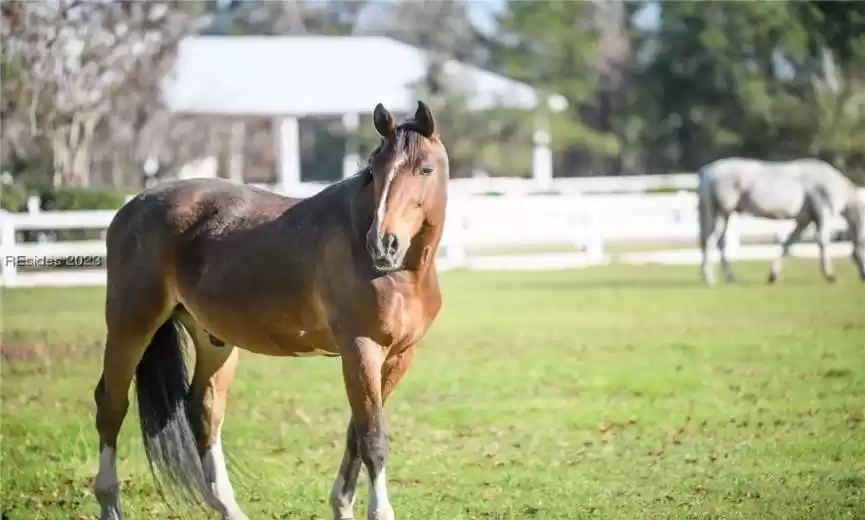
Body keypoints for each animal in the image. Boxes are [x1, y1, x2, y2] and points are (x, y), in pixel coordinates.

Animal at [91, 101, 448, 520]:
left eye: (425, 169)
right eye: (373, 170)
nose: (383, 244)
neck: (401, 274)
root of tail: (131, 207)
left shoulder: (398, 356)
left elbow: (356, 432)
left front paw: (342, 504)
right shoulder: (361, 351)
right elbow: (372, 438)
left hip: (215, 341)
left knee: (203, 411)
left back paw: (228, 506)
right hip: (131, 327)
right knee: (111, 405)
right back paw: (110, 502)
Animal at [696, 156, 864, 286]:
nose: (863, 276)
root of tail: (709, 171)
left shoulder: (804, 221)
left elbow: (788, 244)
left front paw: (773, 275)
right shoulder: (824, 214)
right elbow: (822, 241)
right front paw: (830, 275)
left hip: (722, 215)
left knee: (716, 242)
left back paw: (730, 278)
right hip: (721, 214)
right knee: (712, 241)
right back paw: (711, 279)